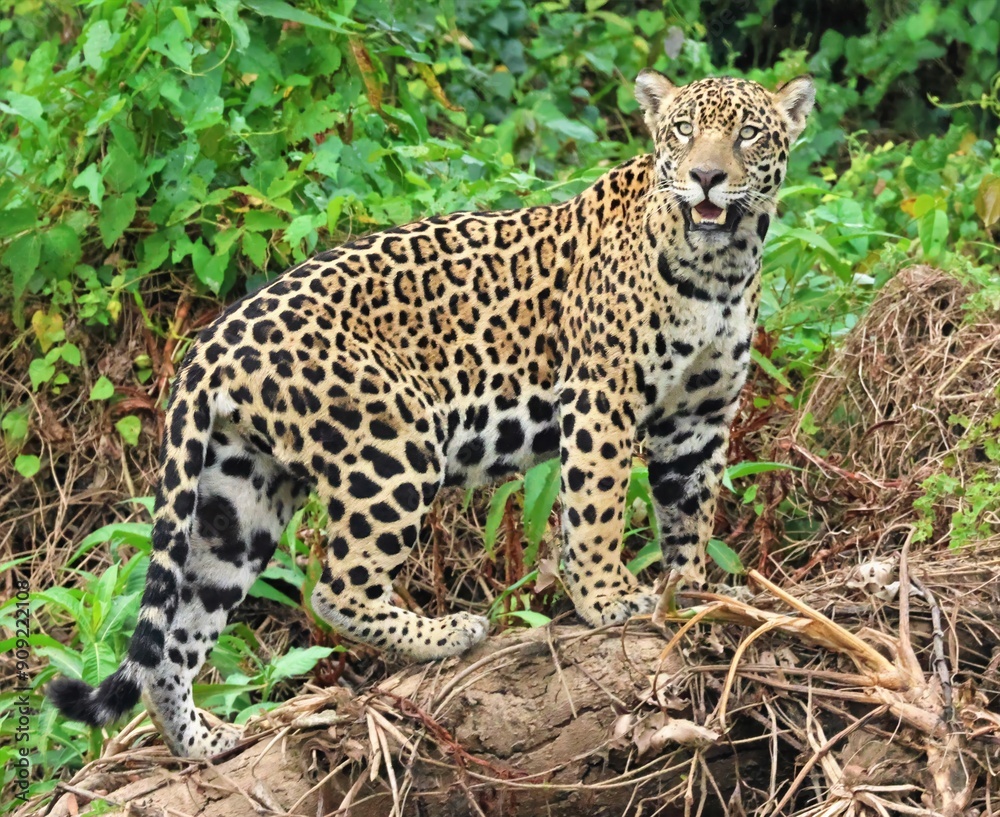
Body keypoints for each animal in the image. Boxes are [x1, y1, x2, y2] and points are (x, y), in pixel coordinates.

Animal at [48, 70, 814, 757]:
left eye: (748, 134)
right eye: (682, 132)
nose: (707, 178)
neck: (720, 267)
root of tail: (210, 342)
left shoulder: (700, 418)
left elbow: (691, 513)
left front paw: (692, 592)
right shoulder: (601, 393)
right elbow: (595, 508)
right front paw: (608, 598)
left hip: (235, 498)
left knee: (177, 635)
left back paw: (201, 742)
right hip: (393, 443)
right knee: (335, 588)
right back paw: (446, 633)